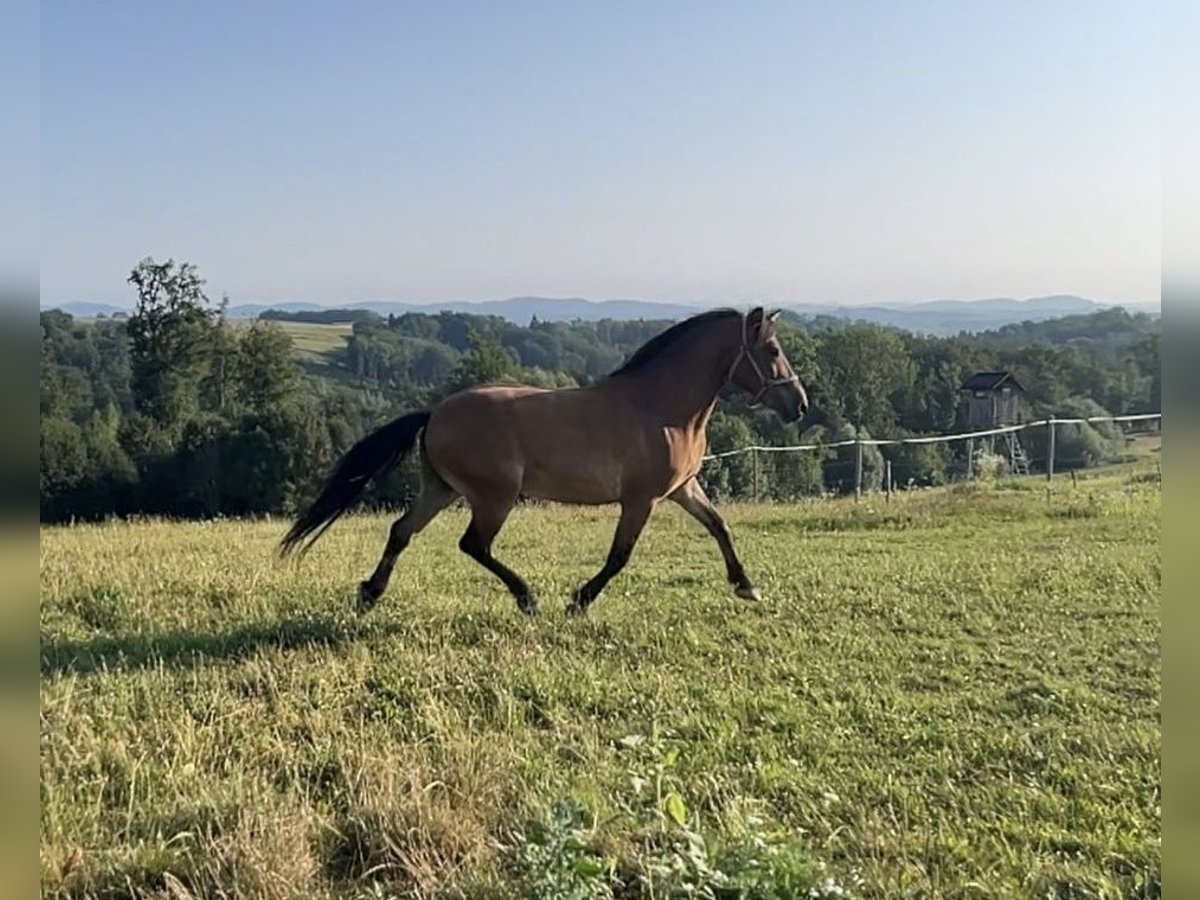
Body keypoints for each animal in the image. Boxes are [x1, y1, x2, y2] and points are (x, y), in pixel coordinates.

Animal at [278, 307, 806, 619]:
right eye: (772, 349)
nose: (799, 405)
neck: (660, 408)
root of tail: (436, 413)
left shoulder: (682, 489)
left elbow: (719, 526)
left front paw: (746, 587)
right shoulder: (642, 499)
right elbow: (619, 556)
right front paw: (578, 601)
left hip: (441, 489)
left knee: (401, 531)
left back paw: (370, 592)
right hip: (494, 497)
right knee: (472, 545)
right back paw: (527, 597)